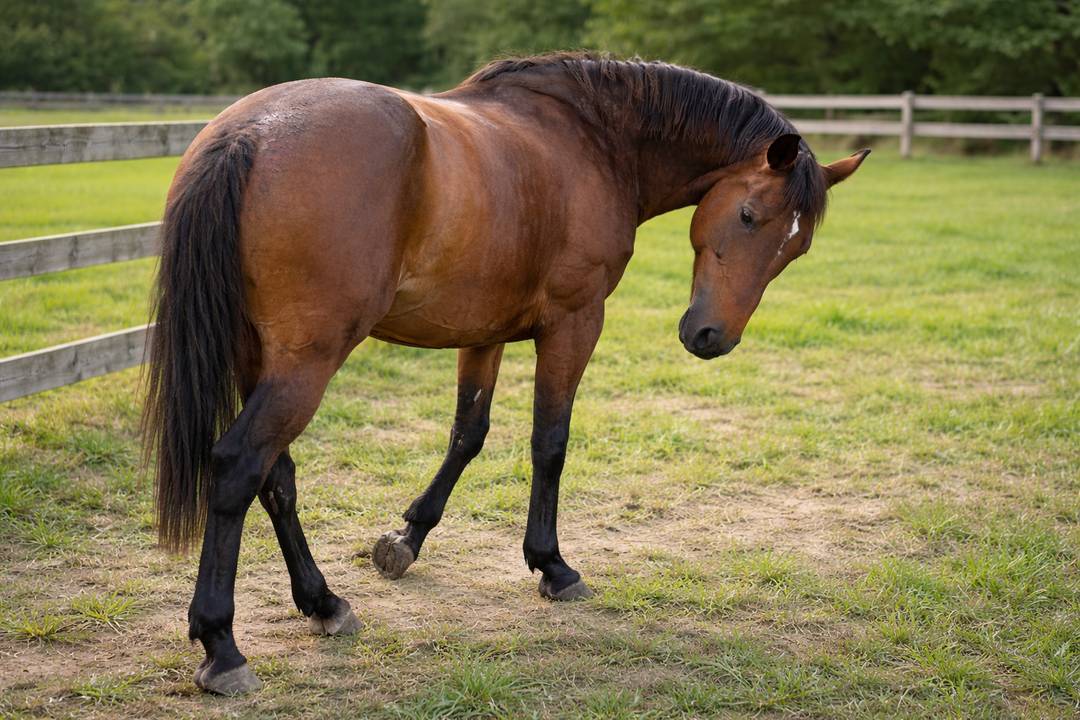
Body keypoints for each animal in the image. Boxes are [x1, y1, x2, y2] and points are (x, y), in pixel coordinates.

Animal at [142, 52, 868, 694]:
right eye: (748, 216)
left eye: (797, 249)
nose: (712, 338)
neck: (592, 139)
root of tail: (249, 133)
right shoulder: (574, 323)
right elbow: (550, 443)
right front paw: (553, 566)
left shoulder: (482, 333)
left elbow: (468, 435)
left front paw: (406, 539)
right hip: (306, 363)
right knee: (238, 467)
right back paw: (222, 646)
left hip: (261, 359)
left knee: (276, 477)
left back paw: (323, 603)